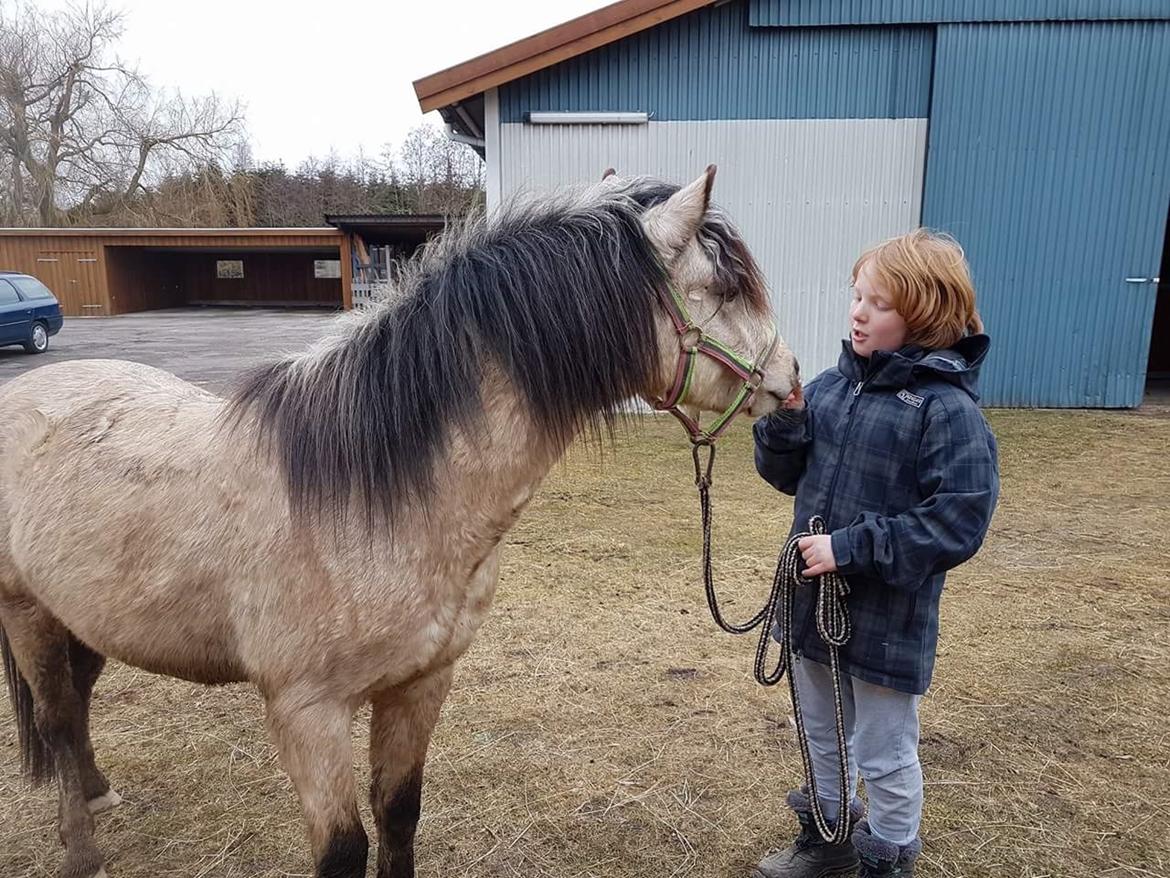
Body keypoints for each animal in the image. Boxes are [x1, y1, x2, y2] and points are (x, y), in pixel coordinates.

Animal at [0, 167, 800, 878]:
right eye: (723, 287)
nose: (791, 382)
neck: (372, 494)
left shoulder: (420, 685)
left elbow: (400, 815)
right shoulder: (308, 713)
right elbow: (343, 851)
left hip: (88, 615)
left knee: (79, 704)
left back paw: (98, 796)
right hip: (27, 611)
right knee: (57, 721)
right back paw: (82, 852)